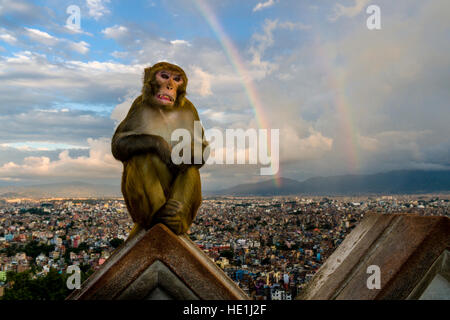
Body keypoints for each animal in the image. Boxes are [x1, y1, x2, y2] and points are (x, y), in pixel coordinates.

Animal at [114, 62, 209, 238]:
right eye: (164, 76)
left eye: (177, 79)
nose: (170, 86)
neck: (165, 109)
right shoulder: (138, 105)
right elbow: (118, 143)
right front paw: (162, 146)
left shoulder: (190, 109)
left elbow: (201, 148)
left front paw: (185, 153)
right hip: (135, 211)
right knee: (141, 155)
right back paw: (157, 216)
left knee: (190, 165)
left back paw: (176, 222)